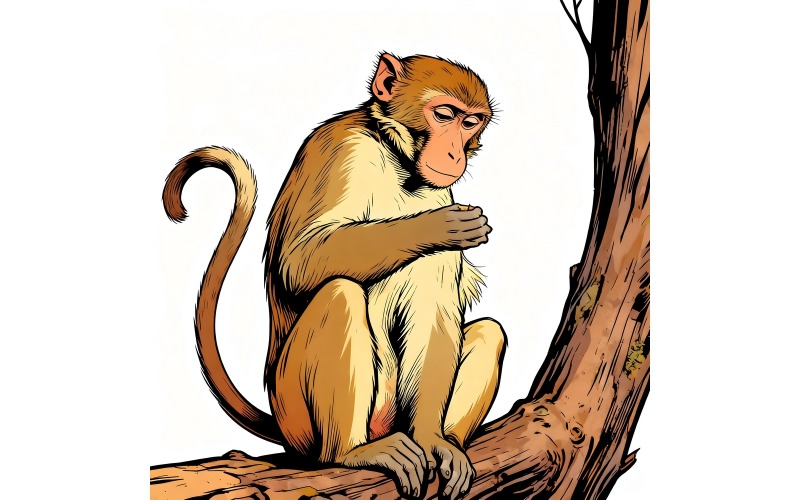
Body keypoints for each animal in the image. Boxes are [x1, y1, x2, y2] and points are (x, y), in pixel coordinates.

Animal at [163, 53, 507, 500]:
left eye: (471, 122)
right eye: (445, 115)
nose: (454, 153)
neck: (397, 159)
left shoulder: (437, 190)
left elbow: (435, 301)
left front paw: (434, 440)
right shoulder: (345, 151)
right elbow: (301, 261)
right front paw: (433, 228)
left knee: (489, 332)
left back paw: (444, 440)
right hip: (295, 412)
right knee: (340, 293)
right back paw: (349, 453)